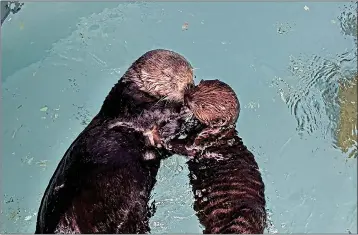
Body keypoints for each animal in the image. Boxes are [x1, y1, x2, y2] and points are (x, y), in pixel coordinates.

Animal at [34, 49, 197, 233]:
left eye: (192, 76)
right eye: (167, 75)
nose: (188, 87)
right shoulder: (128, 100)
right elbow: (154, 111)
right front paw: (184, 109)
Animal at [149, 80, 266, 234]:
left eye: (202, 106)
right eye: (196, 87)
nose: (186, 97)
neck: (218, 134)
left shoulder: (201, 143)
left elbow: (184, 147)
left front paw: (157, 133)